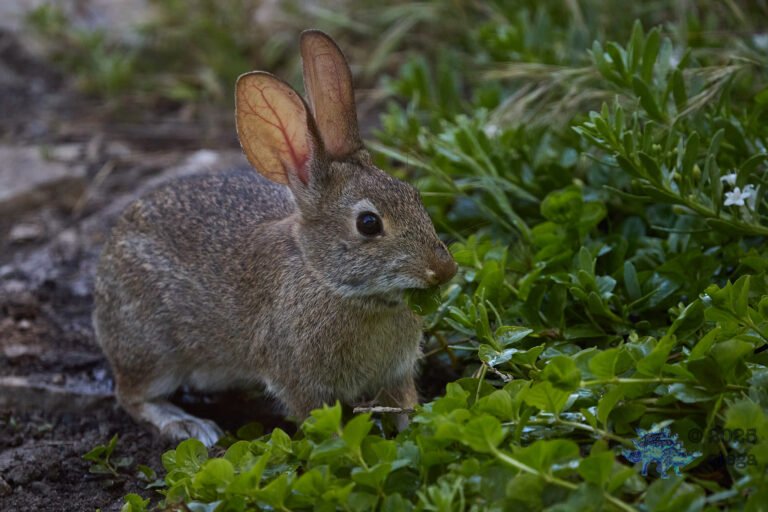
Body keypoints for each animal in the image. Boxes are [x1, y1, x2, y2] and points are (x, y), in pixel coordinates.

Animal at [92, 29, 457, 447]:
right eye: (368, 223)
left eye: (414, 194)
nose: (445, 269)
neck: (327, 281)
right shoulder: (297, 380)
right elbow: (318, 420)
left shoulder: (396, 375)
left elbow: (404, 405)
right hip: (153, 348)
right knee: (132, 395)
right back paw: (188, 425)